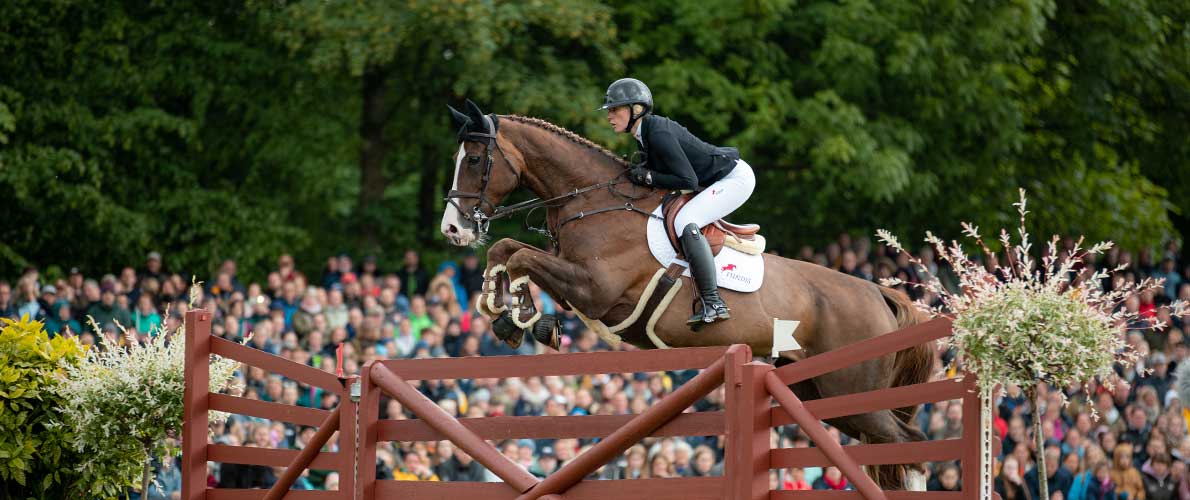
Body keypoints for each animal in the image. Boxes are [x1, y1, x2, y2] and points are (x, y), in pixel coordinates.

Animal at [439, 100, 933, 489]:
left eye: (476, 159)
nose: (453, 229)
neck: (592, 202)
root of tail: (880, 295)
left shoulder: (594, 289)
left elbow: (521, 258)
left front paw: (520, 315)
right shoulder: (573, 282)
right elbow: (507, 250)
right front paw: (507, 315)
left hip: (852, 392)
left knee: (910, 445)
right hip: (821, 394)